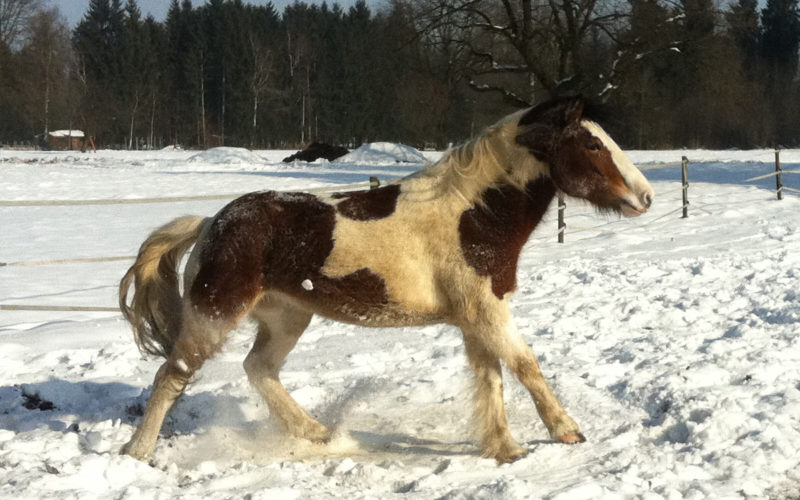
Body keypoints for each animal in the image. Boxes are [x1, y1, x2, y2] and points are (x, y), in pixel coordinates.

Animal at [120, 96, 656, 464]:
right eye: (592, 143)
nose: (646, 197)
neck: (474, 214)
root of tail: (210, 222)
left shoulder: (476, 318)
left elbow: (491, 379)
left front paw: (504, 448)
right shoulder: (487, 311)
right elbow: (526, 366)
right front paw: (565, 430)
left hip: (288, 317)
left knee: (260, 369)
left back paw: (318, 433)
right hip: (214, 316)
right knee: (172, 376)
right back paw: (137, 453)